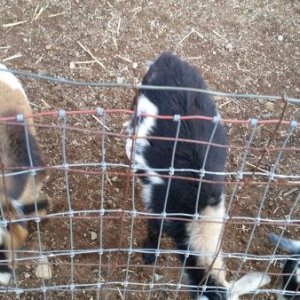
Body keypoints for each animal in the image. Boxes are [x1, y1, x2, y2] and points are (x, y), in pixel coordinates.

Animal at [124, 52, 270, 298]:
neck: (200, 211)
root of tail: (168, 59)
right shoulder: (159, 205)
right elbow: (154, 228)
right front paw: (149, 254)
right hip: (140, 104)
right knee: (130, 127)